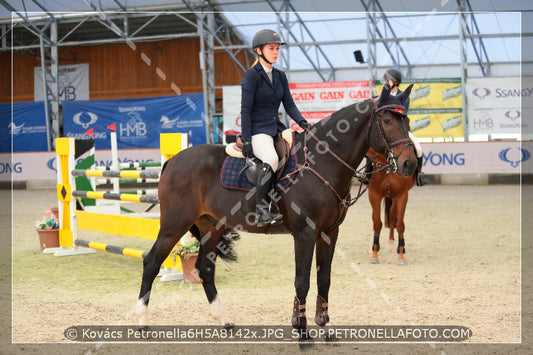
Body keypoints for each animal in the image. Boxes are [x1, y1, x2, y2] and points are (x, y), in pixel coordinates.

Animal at [134, 82, 416, 340]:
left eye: (407, 120)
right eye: (387, 121)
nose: (410, 163)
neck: (322, 162)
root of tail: (173, 160)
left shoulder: (329, 233)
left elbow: (324, 278)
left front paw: (324, 326)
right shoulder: (305, 234)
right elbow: (302, 280)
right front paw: (301, 330)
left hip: (211, 225)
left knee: (204, 267)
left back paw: (224, 320)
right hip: (174, 224)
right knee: (152, 262)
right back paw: (141, 323)